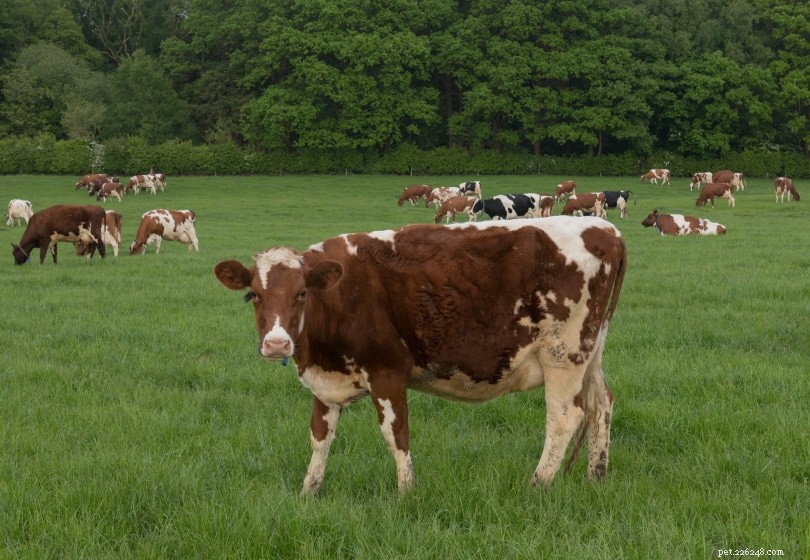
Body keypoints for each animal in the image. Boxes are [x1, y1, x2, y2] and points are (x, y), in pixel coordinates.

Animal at [214, 216, 627, 494]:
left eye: (302, 293)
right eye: (254, 295)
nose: (277, 344)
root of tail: (605, 229)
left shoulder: (387, 372)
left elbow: (396, 435)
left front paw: (405, 493)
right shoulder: (325, 382)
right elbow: (320, 437)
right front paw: (308, 493)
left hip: (564, 354)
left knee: (564, 417)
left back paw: (536, 485)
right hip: (591, 350)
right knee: (600, 405)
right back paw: (596, 476)